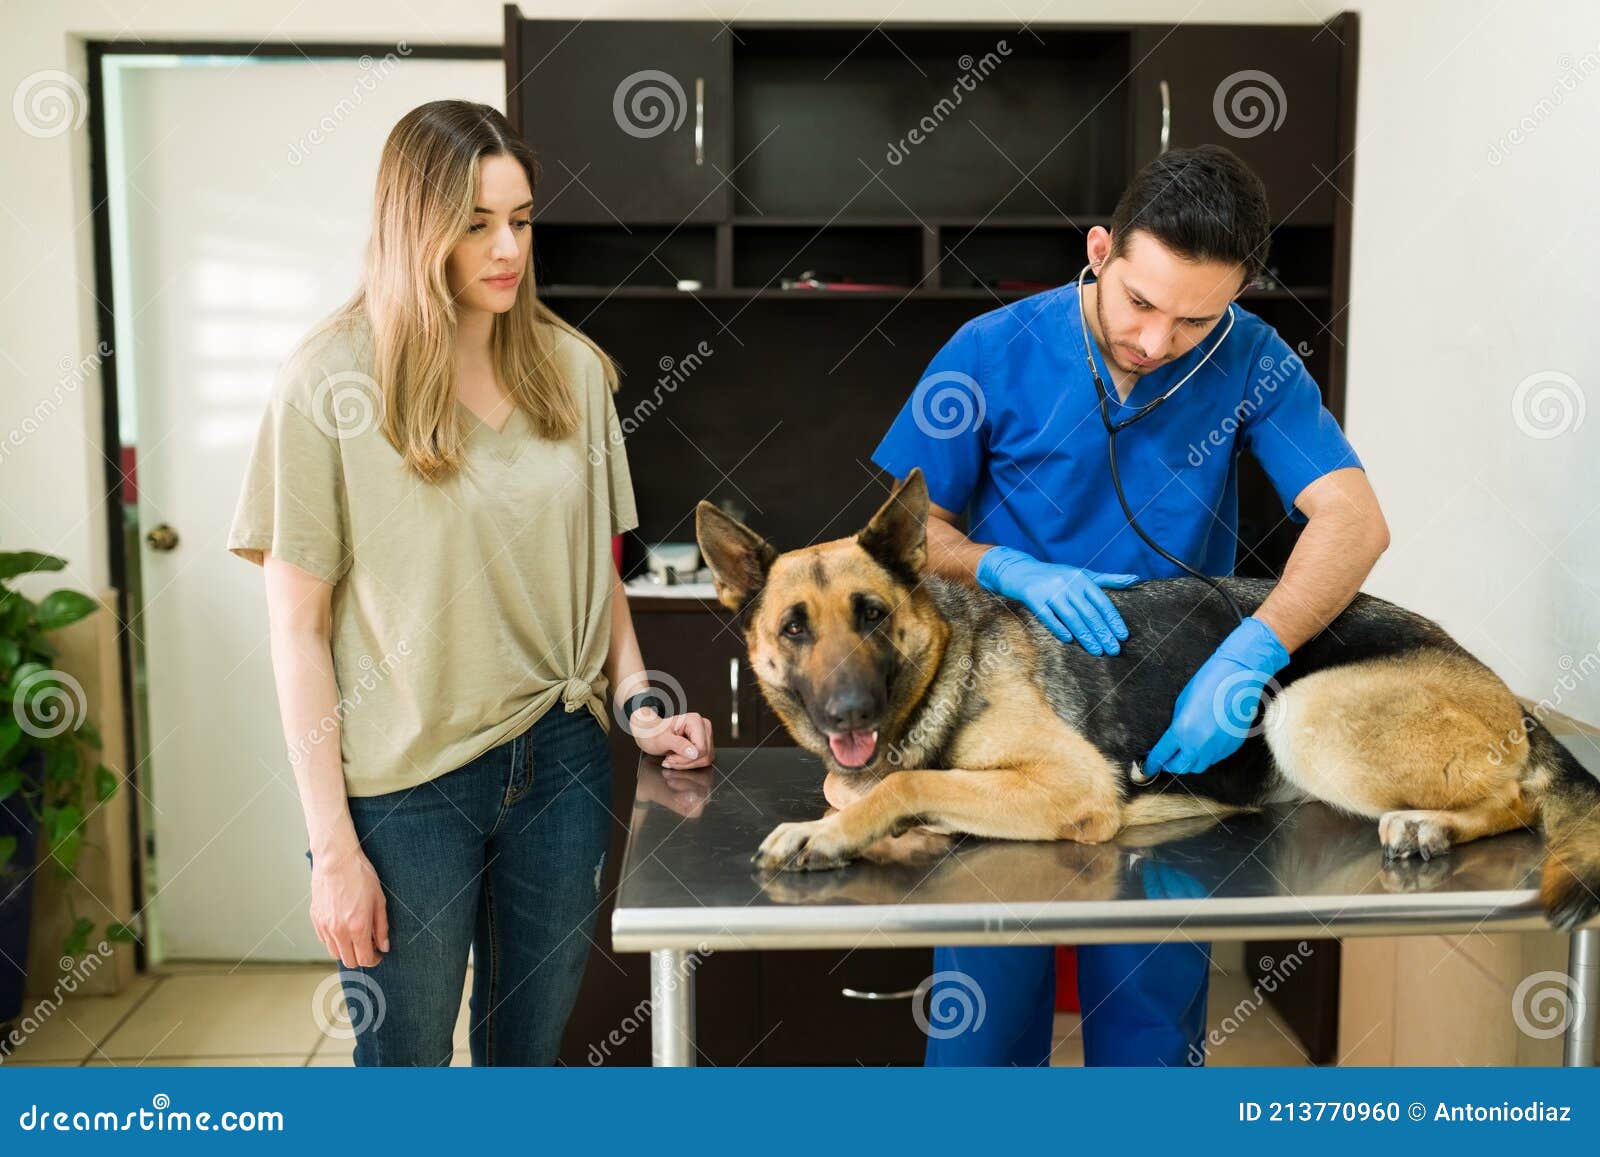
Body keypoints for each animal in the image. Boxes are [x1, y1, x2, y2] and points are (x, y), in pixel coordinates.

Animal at [697, 467, 1600, 928]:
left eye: (873, 615)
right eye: (795, 628)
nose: (849, 713)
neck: (947, 664)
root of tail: (1503, 691)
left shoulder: (1071, 782)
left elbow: (909, 780)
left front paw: (830, 831)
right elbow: (864, 783)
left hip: (1303, 714)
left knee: (1516, 800)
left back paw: (1431, 823)